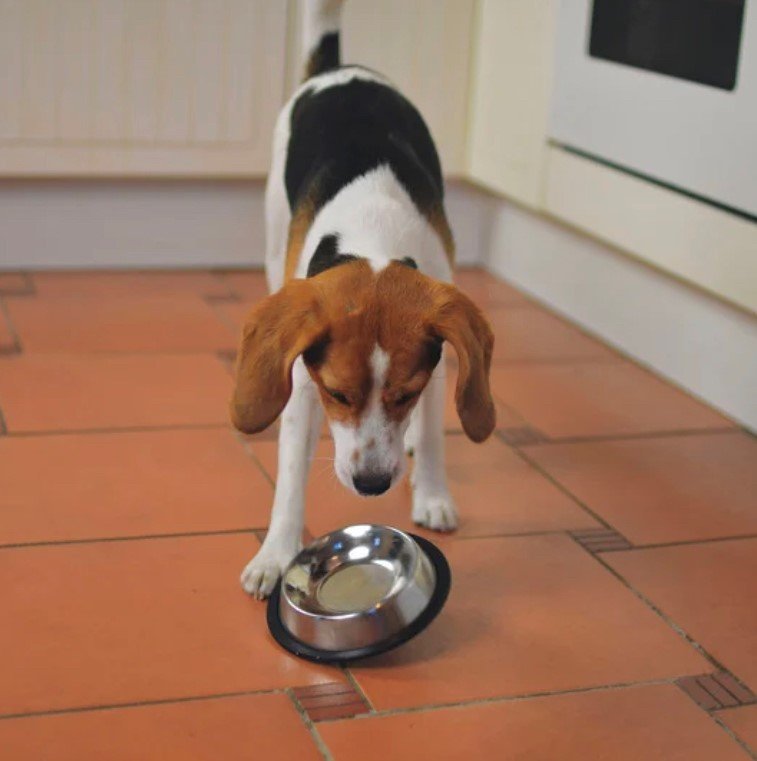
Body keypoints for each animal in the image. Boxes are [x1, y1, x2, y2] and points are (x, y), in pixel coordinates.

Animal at [230, 0, 496, 600]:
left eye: (406, 393)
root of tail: (339, 69)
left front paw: (433, 493)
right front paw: (275, 553)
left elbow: (436, 431)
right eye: (337, 394)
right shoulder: (302, 382)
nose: (372, 483)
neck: (373, 238)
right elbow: (290, 477)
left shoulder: (441, 359)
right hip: (272, 237)